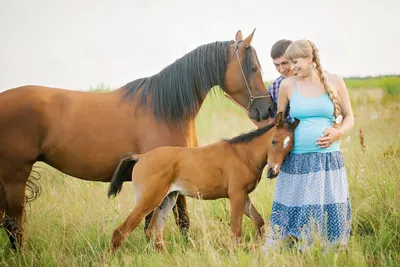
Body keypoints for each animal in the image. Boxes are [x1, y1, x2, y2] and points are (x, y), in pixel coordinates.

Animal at [0, 29, 274, 251]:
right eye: (253, 68)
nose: (269, 109)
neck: (164, 108)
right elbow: (165, 221)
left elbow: (178, 219)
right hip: (15, 176)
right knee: (14, 223)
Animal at [106, 112, 300, 254]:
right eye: (274, 141)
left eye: (290, 147)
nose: (273, 172)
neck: (244, 155)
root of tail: (141, 157)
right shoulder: (236, 195)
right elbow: (236, 230)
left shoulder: (244, 195)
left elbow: (259, 222)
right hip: (148, 200)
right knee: (120, 232)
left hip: (167, 199)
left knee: (154, 231)